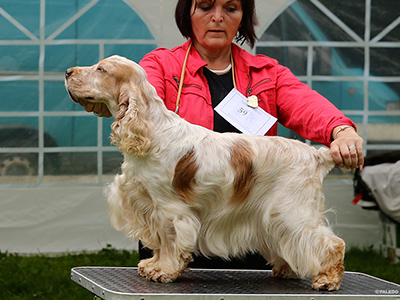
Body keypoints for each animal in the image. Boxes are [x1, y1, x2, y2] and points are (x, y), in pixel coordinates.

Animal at [64, 55, 346, 290]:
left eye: (101, 69)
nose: (67, 71)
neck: (152, 131)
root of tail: (316, 155)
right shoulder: (148, 205)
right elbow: (158, 242)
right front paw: (153, 265)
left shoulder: (169, 209)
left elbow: (169, 241)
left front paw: (164, 270)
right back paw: (286, 269)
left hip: (292, 211)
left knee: (331, 243)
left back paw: (328, 279)